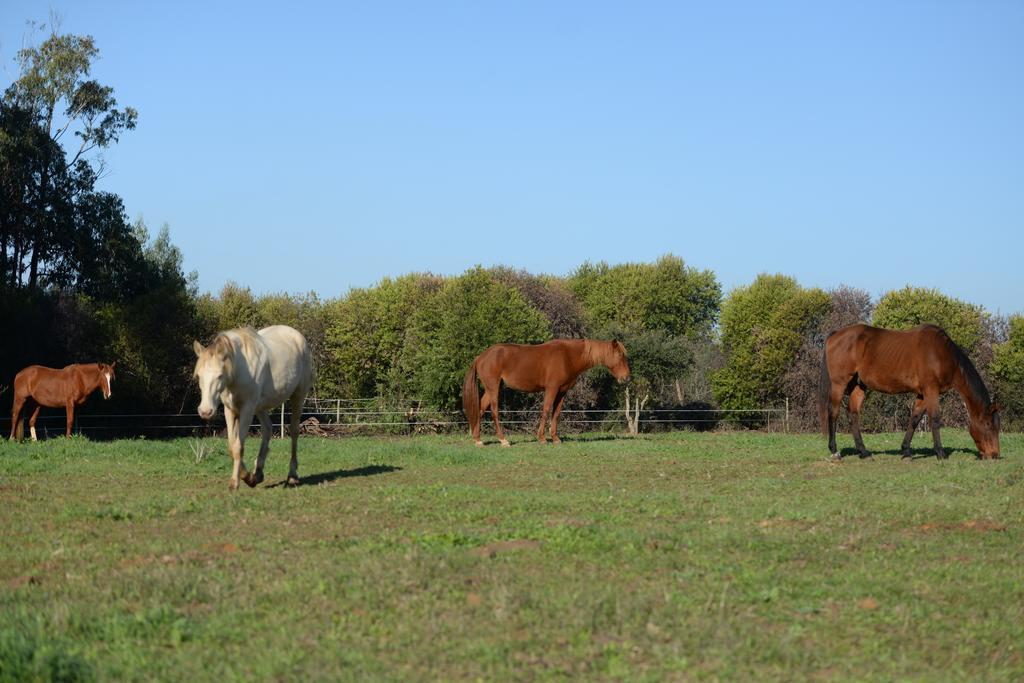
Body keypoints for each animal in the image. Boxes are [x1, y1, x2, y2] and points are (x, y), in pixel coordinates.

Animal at [466, 339, 626, 446]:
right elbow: (546, 410)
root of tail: (480, 357)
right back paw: (503, 440)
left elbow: (556, 414)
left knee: (480, 409)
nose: (626, 377)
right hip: (493, 388)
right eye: (619, 355)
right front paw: (542, 438)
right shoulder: (551, 388)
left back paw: (478, 440)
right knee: (494, 411)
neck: (568, 356)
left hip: (489, 389)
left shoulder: (562, 392)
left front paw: (555, 438)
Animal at [819, 325, 1003, 462]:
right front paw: (940, 453)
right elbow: (935, 419)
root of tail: (835, 335)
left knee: (853, 414)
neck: (941, 353)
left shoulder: (922, 394)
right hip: (839, 384)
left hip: (858, 385)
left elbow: (915, 419)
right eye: (988, 425)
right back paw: (834, 451)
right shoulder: (931, 390)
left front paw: (906, 451)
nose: (994, 455)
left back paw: (863, 452)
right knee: (833, 413)